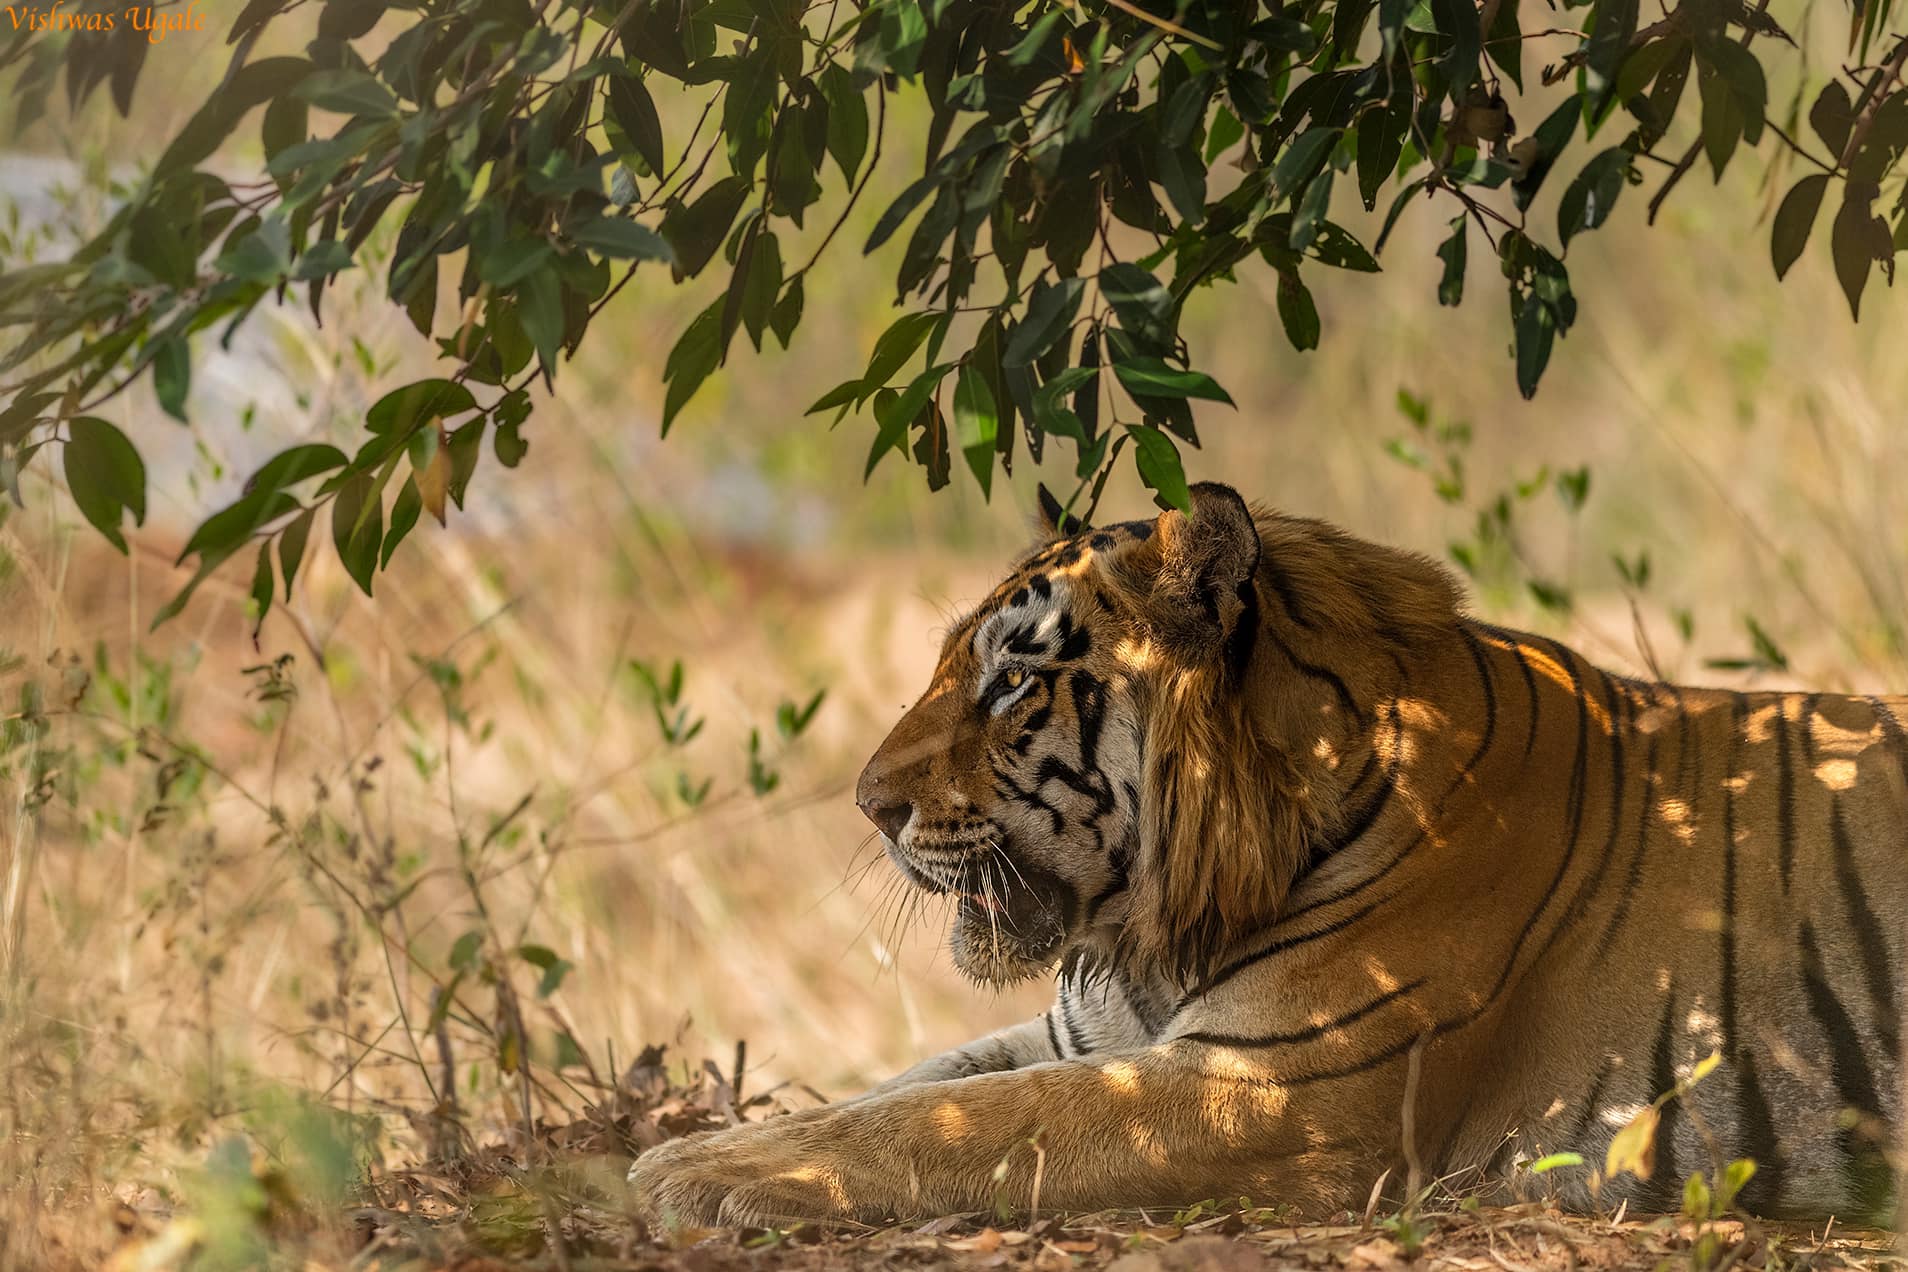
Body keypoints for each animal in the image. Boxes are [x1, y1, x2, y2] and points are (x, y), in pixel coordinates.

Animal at [629, 480, 1908, 1235]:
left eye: (1009, 683)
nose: (868, 805)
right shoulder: (1092, 1036)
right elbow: (913, 1089)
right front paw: (700, 1147)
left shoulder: (1272, 1091)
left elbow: (959, 1122)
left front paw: (690, 1173)